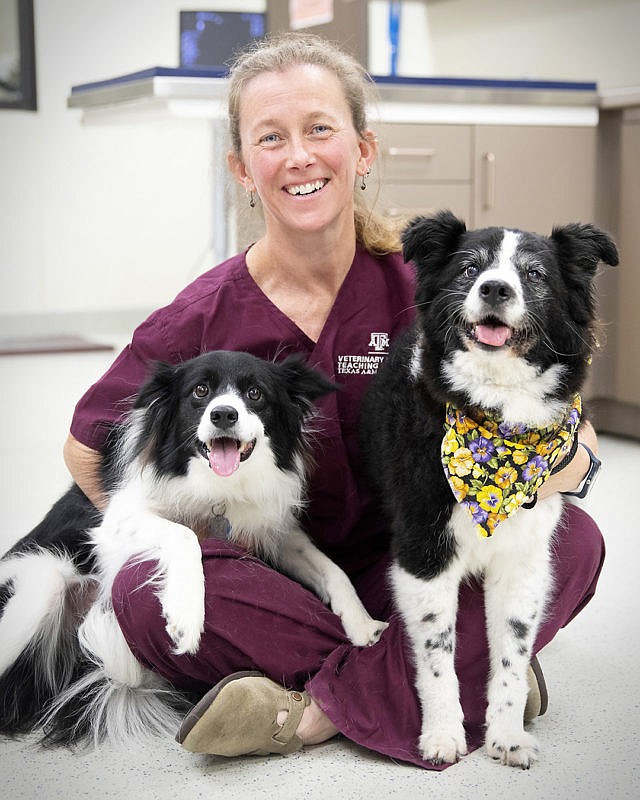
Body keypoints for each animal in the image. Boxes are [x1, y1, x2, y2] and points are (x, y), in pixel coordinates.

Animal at [1, 354, 384, 748]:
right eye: (200, 391)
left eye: (255, 393)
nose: (223, 414)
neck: (218, 484)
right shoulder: (118, 520)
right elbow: (186, 535)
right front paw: (186, 617)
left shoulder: (274, 531)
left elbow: (331, 568)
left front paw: (362, 623)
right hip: (43, 586)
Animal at [362, 211, 616, 768]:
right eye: (469, 268)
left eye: (535, 274)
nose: (496, 288)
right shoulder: (423, 552)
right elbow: (437, 654)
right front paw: (441, 735)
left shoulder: (524, 560)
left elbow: (511, 656)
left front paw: (506, 735)